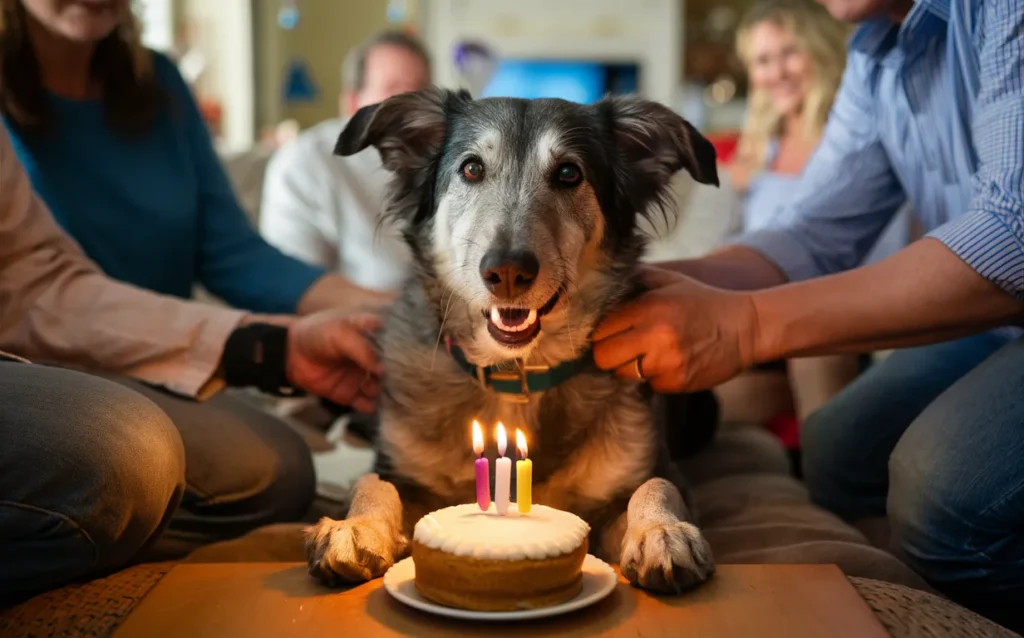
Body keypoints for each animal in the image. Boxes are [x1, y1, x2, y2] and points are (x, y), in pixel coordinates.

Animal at [303, 86, 720, 593]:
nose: (506, 271)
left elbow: (657, 486)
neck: (515, 373)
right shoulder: (401, 472)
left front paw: (662, 532)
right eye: (471, 169)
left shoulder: (643, 475)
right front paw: (355, 527)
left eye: (569, 173)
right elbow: (373, 484)